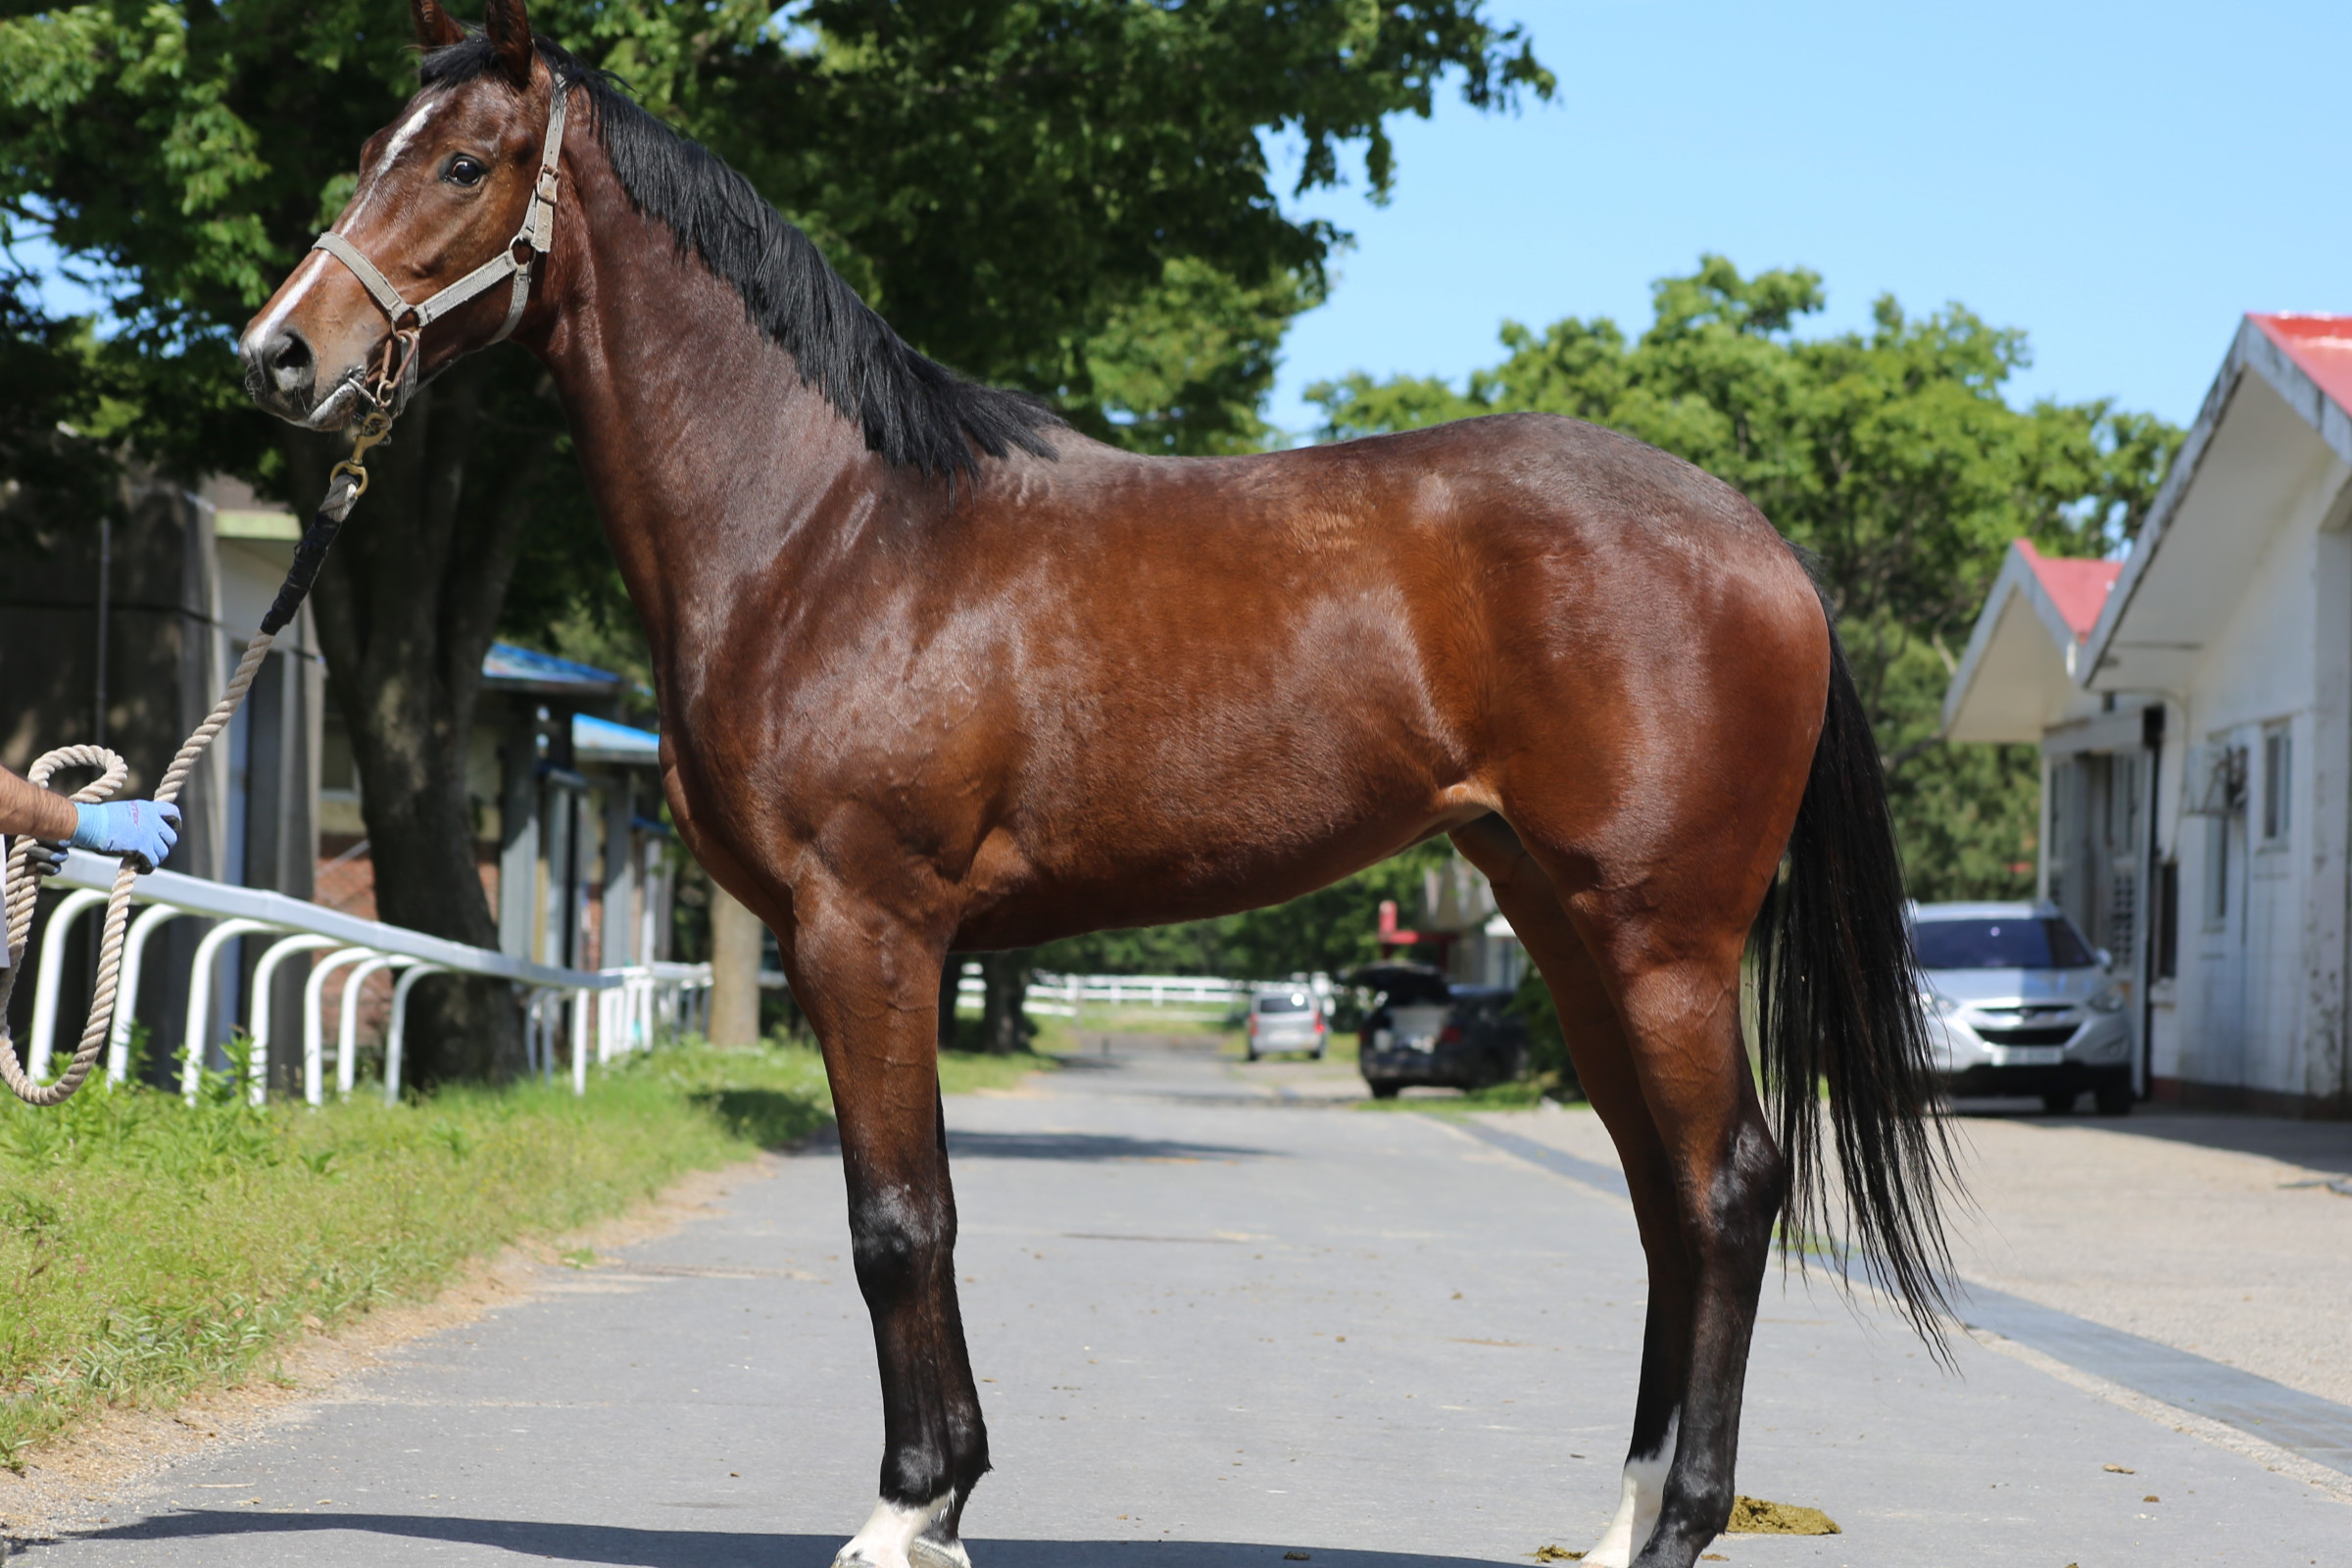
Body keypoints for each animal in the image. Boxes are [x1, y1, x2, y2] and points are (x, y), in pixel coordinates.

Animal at [239, 4, 1952, 1563]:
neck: (825, 531)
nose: (281, 354)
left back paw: (1681, 1527)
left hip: (1664, 936)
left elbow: (896, 1223)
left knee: (1726, 1190)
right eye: (372, 149)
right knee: (1663, 1199)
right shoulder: (875, 940)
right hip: (1565, 924)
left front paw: (905, 1512)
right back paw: (1622, 1522)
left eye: (463, 164)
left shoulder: (864, 926)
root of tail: (1759, 544)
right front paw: (943, 1502)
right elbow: (919, 1210)